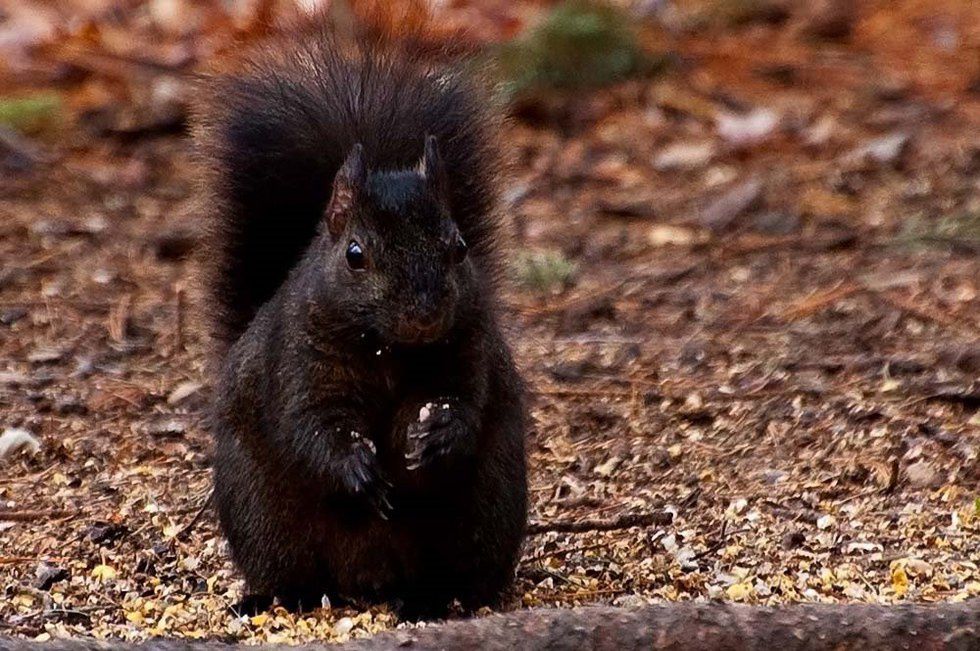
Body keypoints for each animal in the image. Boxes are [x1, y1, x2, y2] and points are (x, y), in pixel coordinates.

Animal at [191, 17, 528, 618]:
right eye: (355, 254)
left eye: (459, 247)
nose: (424, 315)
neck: (388, 349)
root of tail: (370, 579)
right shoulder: (298, 361)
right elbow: (312, 425)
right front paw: (357, 470)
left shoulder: (471, 346)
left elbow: (465, 400)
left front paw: (436, 433)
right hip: (262, 515)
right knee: (291, 570)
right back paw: (275, 598)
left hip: (486, 509)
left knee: (454, 573)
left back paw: (437, 600)